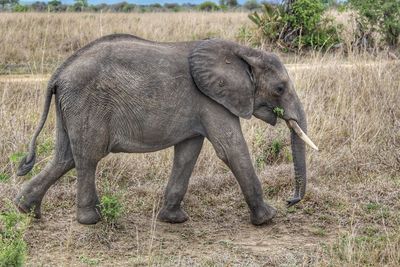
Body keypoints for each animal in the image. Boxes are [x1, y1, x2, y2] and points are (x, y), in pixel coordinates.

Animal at [14, 33, 318, 226]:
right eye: (280, 89)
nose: (291, 201)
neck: (244, 52)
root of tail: (58, 73)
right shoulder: (211, 100)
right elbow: (231, 149)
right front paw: (268, 218)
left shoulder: (201, 106)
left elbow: (188, 152)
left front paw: (173, 219)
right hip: (86, 103)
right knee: (88, 157)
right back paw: (91, 220)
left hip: (71, 105)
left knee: (64, 158)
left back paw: (26, 210)